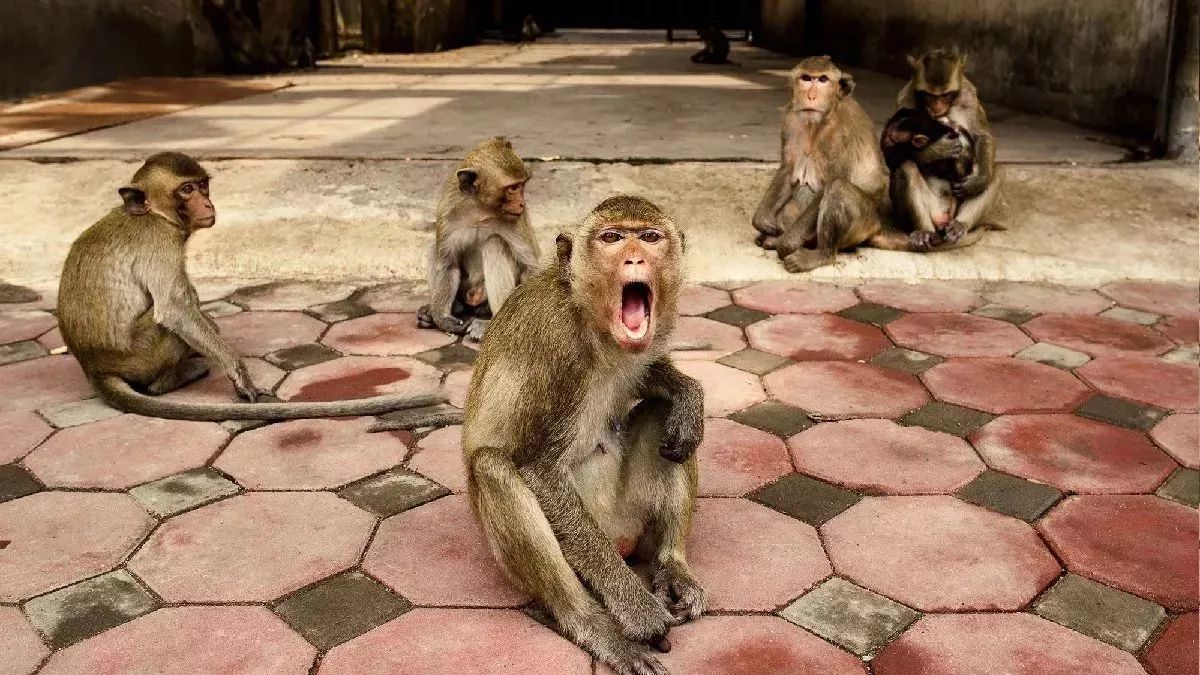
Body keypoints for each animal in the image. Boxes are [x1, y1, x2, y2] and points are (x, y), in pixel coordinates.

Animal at [56, 152, 445, 422]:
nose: (207, 202)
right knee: (172, 317)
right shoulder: (160, 242)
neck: (152, 214)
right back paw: (170, 379)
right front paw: (239, 373)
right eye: (186, 190)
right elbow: (175, 310)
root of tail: (93, 367)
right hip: (142, 354)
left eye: (202, 185)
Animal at [417, 137, 540, 342]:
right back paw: (440, 311)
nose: (522, 204)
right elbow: (448, 264)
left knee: (494, 243)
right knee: (435, 247)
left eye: (522, 185)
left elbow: (530, 267)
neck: (480, 211)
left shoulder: (517, 221)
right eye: (513, 188)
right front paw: (442, 318)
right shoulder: (447, 211)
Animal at [464, 196, 706, 675]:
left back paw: (672, 564)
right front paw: (636, 610)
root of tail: (620, 542)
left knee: (665, 419)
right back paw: (593, 623)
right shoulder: (554, 342)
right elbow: (537, 466)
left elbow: (651, 383)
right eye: (611, 238)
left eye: (649, 236)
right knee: (493, 466)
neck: (590, 319)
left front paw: (687, 393)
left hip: (629, 517)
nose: (635, 258)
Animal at [750, 56, 890, 272]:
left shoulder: (840, 135)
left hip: (862, 225)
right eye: (806, 78)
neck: (819, 120)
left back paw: (820, 254)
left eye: (823, 79)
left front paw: (786, 244)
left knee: (839, 188)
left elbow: (828, 184)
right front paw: (762, 220)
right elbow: (788, 170)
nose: (811, 96)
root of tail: (876, 227)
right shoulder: (790, 119)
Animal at [894, 49, 1002, 248]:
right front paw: (938, 149)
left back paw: (961, 224)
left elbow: (982, 136)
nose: (936, 106)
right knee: (906, 167)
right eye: (929, 95)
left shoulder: (969, 97)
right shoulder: (906, 99)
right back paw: (924, 230)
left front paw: (979, 181)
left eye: (945, 95)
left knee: (997, 171)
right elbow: (893, 147)